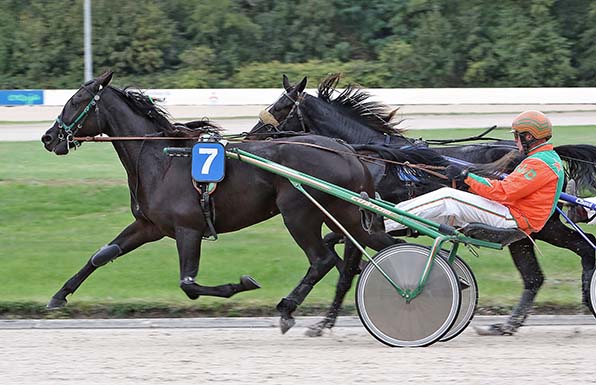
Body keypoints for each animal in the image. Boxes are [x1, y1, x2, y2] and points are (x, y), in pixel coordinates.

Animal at [39, 71, 400, 332]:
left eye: (75, 101)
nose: (48, 137)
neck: (161, 159)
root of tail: (348, 150)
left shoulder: (188, 229)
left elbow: (188, 284)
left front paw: (241, 283)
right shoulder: (149, 226)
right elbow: (101, 255)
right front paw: (58, 296)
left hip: (298, 213)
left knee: (322, 259)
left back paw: (288, 308)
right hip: (345, 213)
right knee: (374, 249)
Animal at [250, 73, 596, 334]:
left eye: (281, 106)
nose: (252, 136)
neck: (373, 158)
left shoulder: (364, 220)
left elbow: (346, 271)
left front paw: (324, 321)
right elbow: (335, 247)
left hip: (540, 226)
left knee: (583, 248)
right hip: (522, 235)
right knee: (536, 276)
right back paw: (508, 325)